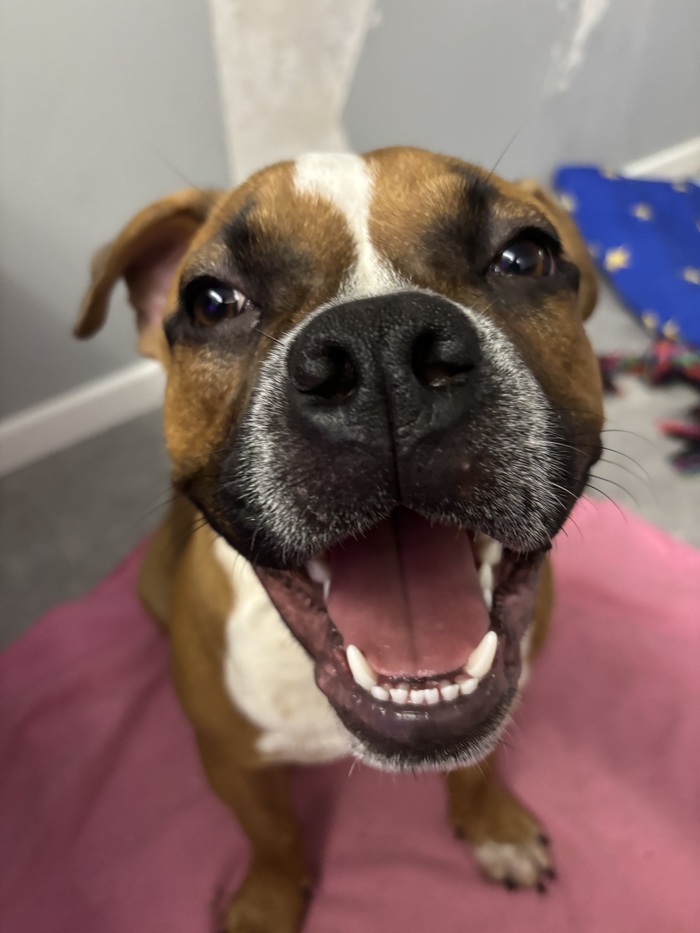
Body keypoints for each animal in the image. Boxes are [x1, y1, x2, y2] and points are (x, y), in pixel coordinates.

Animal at [75, 147, 603, 932]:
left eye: (524, 255)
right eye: (210, 302)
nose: (380, 345)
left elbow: (478, 769)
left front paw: (495, 828)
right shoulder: (232, 760)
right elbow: (272, 834)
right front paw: (268, 900)